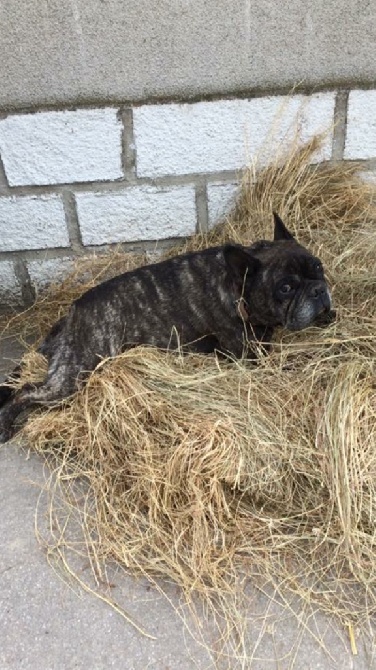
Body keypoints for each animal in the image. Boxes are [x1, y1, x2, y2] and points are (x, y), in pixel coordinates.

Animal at [0, 215, 332, 444]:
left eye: (318, 267)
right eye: (285, 288)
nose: (318, 290)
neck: (237, 288)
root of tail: (69, 316)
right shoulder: (248, 356)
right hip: (74, 375)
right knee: (25, 391)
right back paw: (6, 424)